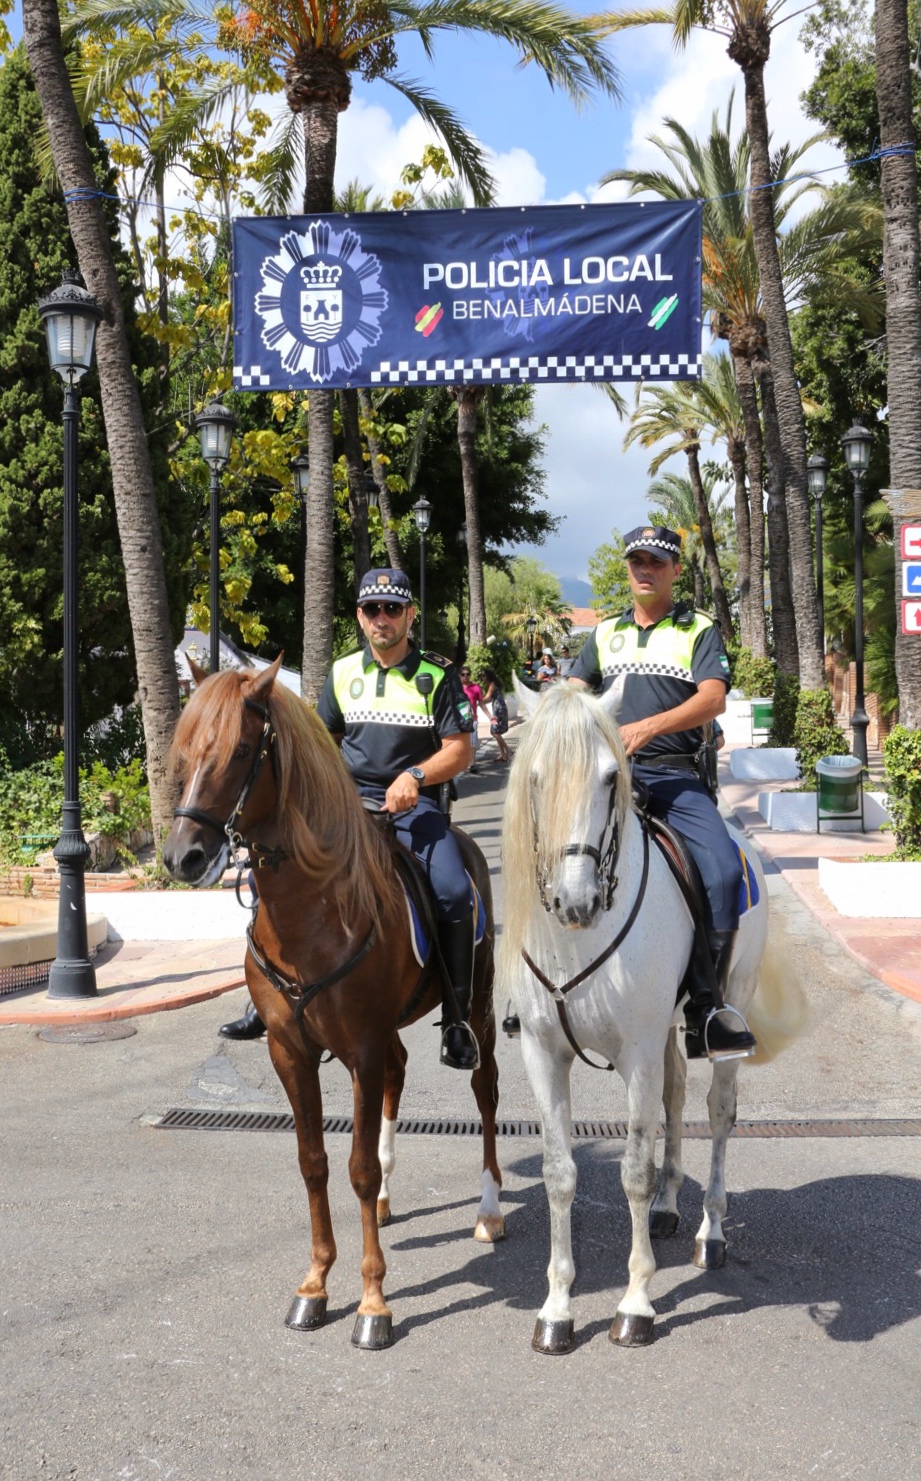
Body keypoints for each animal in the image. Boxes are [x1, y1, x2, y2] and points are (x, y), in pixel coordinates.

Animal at [160, 666, 506, 1350]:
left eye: (242, 750)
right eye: (185, 753)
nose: (184, 856)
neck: (314, 912)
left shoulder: (360, 1051)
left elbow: (358, 1167)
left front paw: (374, 1302)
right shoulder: (291, 1052)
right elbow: (315, 1162)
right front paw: (316, 1284)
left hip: (476, 1012)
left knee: (485, 1093)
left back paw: (488, 1209)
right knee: (400, 1075)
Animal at [500, 681, 805, 1356]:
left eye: (611, 777)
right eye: (535, 777)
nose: (576, 901)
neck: (578, 940)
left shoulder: (635, 1051)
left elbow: (633, 1172)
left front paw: (636, 1303)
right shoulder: (542, 1053)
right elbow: (559, 1173)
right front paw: (556, 1309)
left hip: (725, 1008)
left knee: (717, 1113)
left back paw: (710, 1233)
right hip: (666, 1031)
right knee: (674, 1098)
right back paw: (669, 1207)